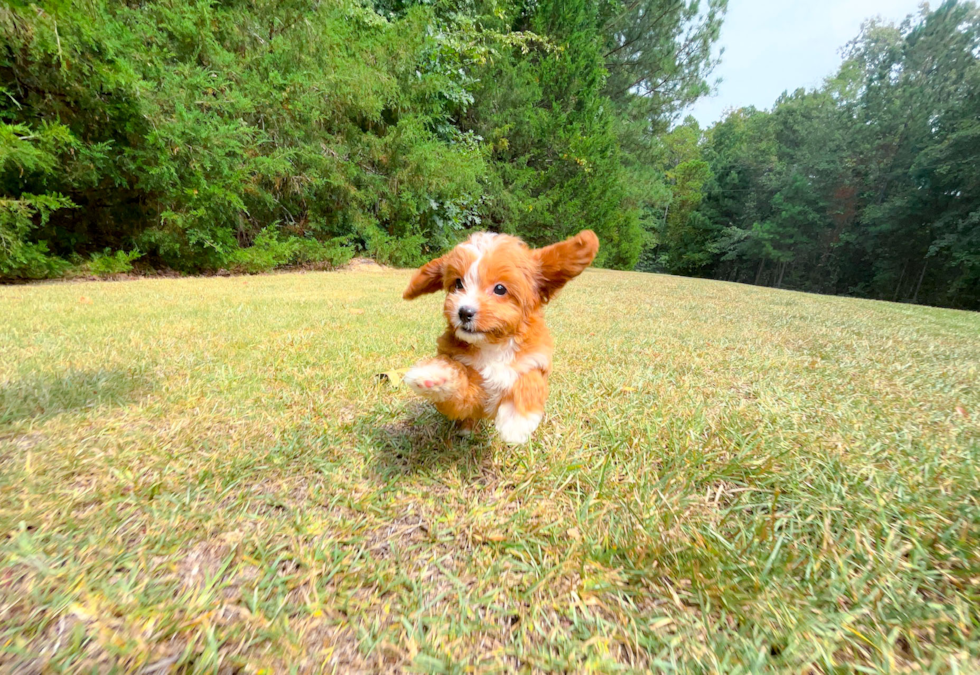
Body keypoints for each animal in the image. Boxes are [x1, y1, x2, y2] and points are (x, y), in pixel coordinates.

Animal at [400, 230, 596, 446]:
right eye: (458, 283)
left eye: (500, 289)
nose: (464, 312)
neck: (493, 345)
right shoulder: (472, 396)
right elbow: (458, 380)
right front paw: (435, 375)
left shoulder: (536, 360)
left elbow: (530, 380)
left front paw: (517, 422)